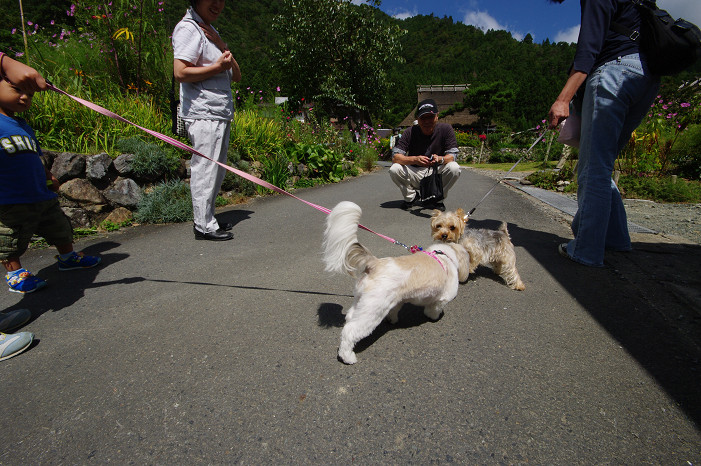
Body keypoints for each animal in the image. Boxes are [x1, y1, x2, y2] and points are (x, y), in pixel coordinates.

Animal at [324, 200, 468, 364]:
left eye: (452, 227)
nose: (445, 235)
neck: (443, 254)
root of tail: (375, 263)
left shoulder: (398, 300)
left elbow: (394, 311)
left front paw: (392, 320)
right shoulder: (442, 298)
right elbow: (433, 308)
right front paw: (433, 316)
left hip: (361, 302)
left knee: (349, 318)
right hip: (373, 309)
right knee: (350, 330)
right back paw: (347, 356)